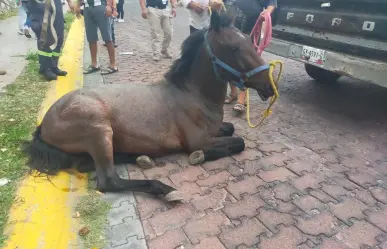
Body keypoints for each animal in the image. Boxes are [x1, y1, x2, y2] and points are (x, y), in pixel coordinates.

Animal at [24, 12, 278, 202]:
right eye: (234, 48)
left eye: (251, 42)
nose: (269, 86)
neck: (191, 94)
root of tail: (44, 123)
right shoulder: (199, 140)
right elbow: (238, 142)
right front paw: (198, 157)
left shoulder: (215, 129)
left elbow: (233, 130)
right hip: (98, 129)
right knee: (108, 180)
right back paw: (166, 190)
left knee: (87, 164)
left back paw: (141, 158)